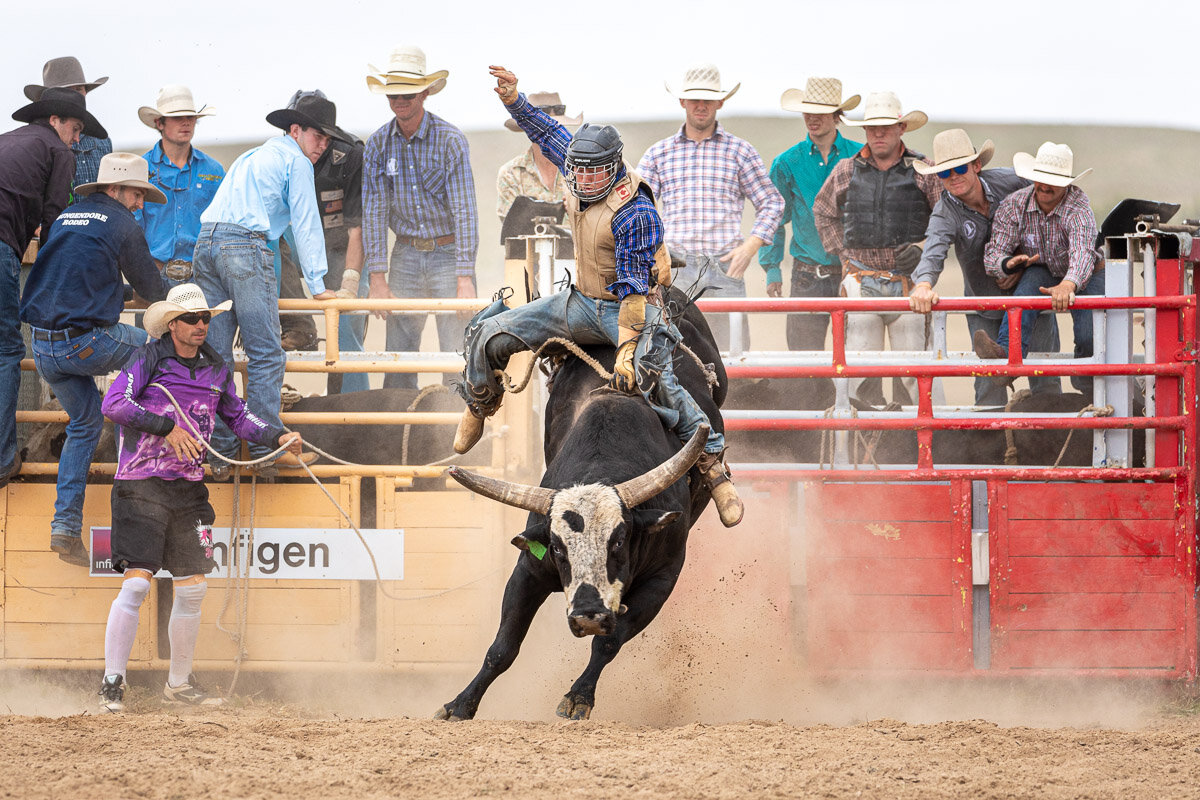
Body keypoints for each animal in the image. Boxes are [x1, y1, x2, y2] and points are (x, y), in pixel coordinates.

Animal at [436, 297, 724, 724]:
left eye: (619, 542)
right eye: (558, 548)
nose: (588, 614)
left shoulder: (662, 579)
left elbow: (609, 642)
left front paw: (578, 697)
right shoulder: (529, 568)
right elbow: (502, 648)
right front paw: (460, 704)